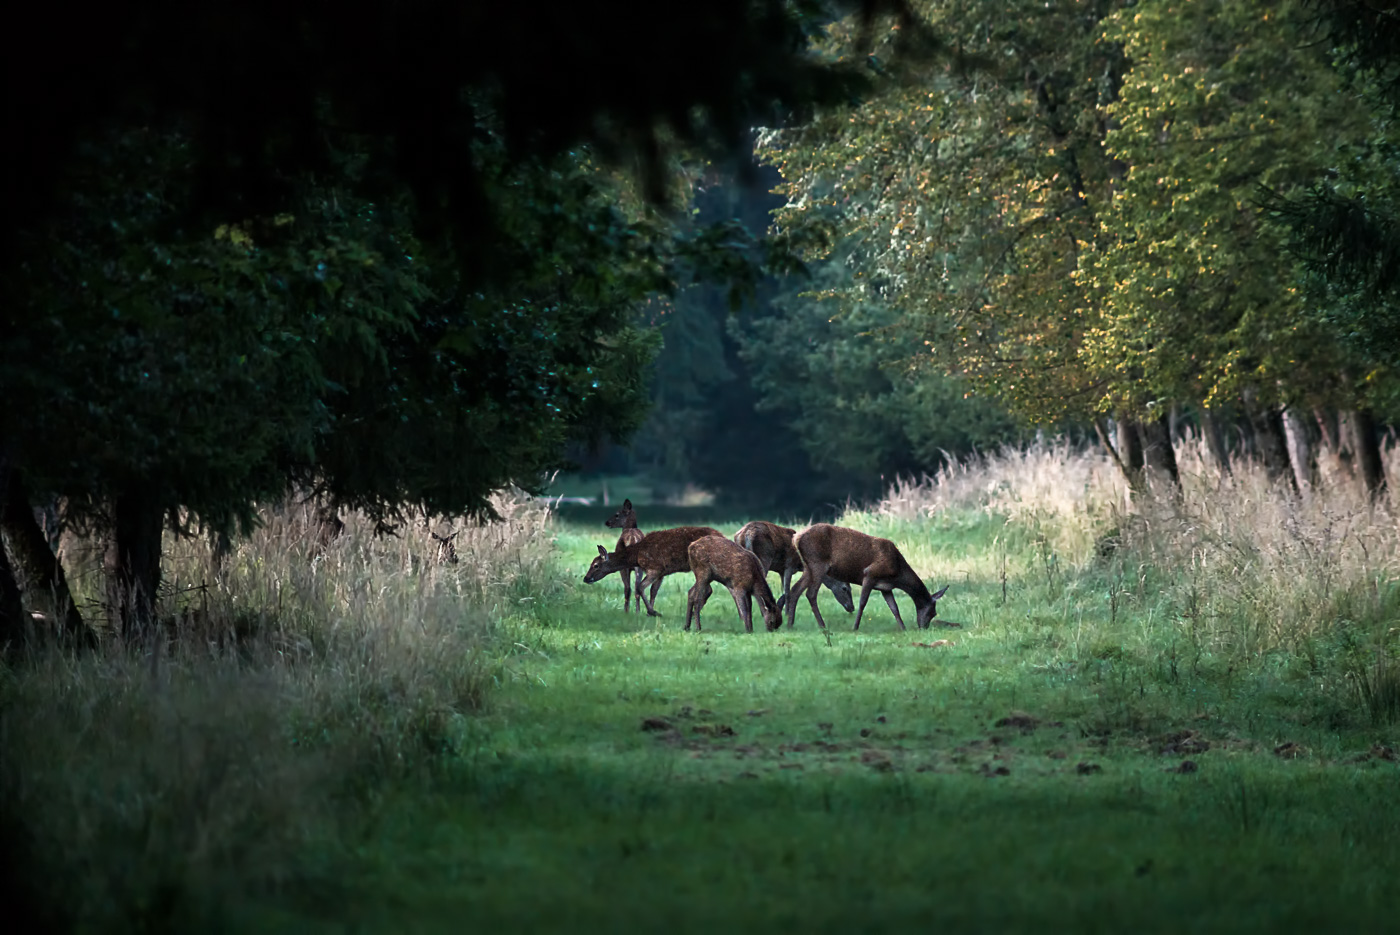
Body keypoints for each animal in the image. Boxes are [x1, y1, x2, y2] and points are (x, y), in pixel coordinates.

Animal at [585, 523, 728, 615]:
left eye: (596, 565)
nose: (586, 578)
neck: (636, 555)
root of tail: (724, 536)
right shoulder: (661, 572)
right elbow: (652, 590)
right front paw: (650, 612)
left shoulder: (655, 568)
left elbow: (640, 587)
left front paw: (653, 612)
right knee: (709, 589)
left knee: (708, 588)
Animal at [789, 523, 952, 632]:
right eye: (933, 612)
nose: (924, 627)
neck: (897, 573)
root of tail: (797, 537)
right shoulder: (870, 574)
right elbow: (862, 603)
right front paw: (855, 627)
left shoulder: (885, 587)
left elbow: (894, 608)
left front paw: (903, 628)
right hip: (818, 563)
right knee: (811, 594)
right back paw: (822, 625)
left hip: (808, 567)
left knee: (795, 590)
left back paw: (790, 623)